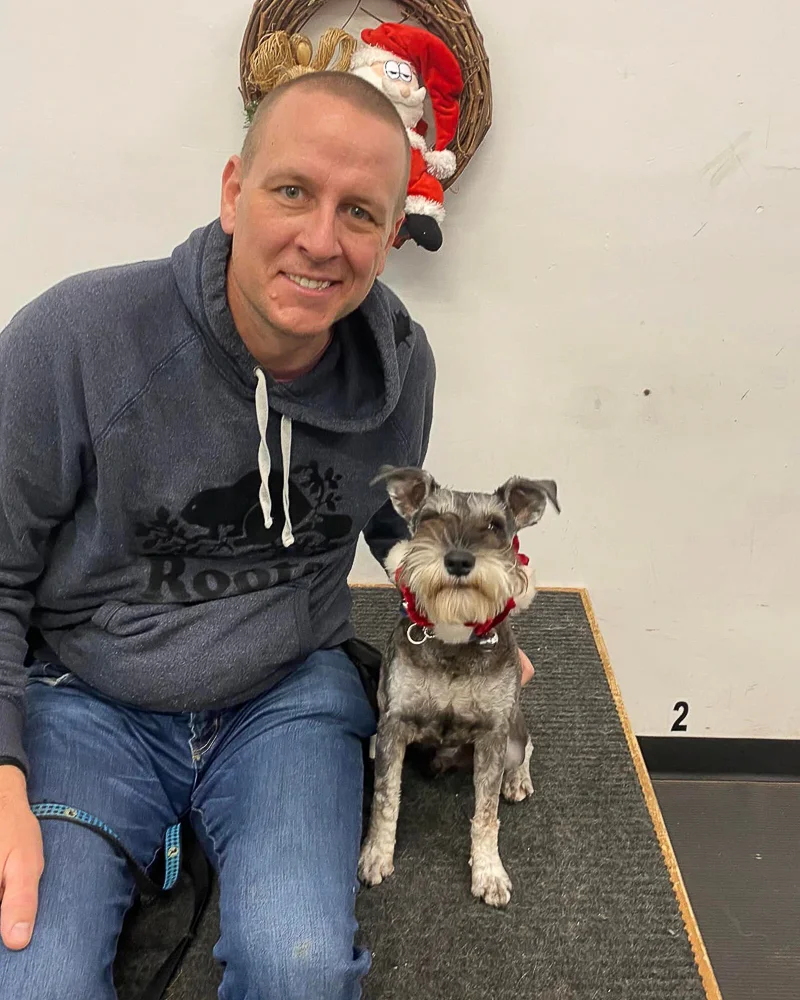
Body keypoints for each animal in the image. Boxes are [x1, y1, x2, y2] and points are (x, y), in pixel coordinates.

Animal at [358, 466, 559, 908]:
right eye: (431, 519)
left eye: (495, 526)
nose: (459, 560)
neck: (454, 639)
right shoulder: (393, 725)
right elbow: (385, 799)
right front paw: (375, 856)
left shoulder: (493, 734)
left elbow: (485, 814)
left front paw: (490, 874)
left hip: (511, 734)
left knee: (525, 747)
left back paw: (517, 780)